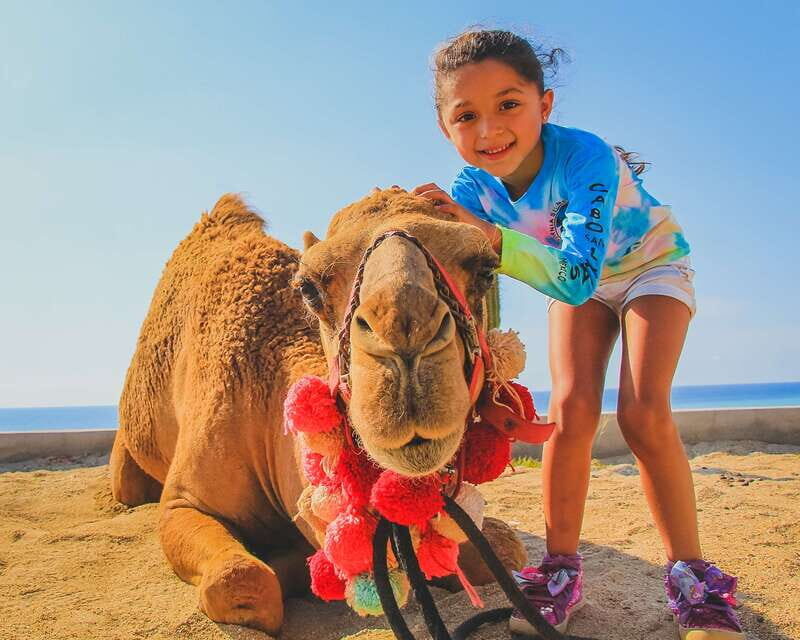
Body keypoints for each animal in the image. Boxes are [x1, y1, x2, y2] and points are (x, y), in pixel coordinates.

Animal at [110, 189, 527, 634]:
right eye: (309, 288)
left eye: (486, 269)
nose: (405, 332)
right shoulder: (184, 500)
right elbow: (243, 578)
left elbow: (504, 547)